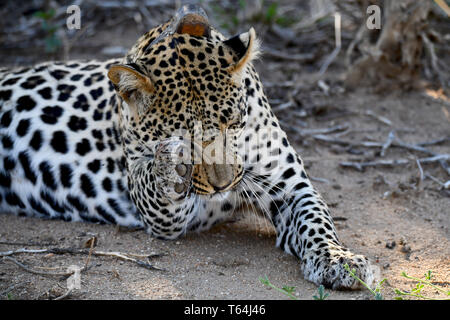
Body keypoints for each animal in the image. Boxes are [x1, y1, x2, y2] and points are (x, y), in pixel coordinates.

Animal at [0, 5, 374, 290]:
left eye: (233, 122)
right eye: (183, 137)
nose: (225, 185)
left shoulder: (290, 185)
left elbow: (317, 221)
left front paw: (339, 261)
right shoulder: (156, 211)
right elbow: (156, 186)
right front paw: (169, 165)